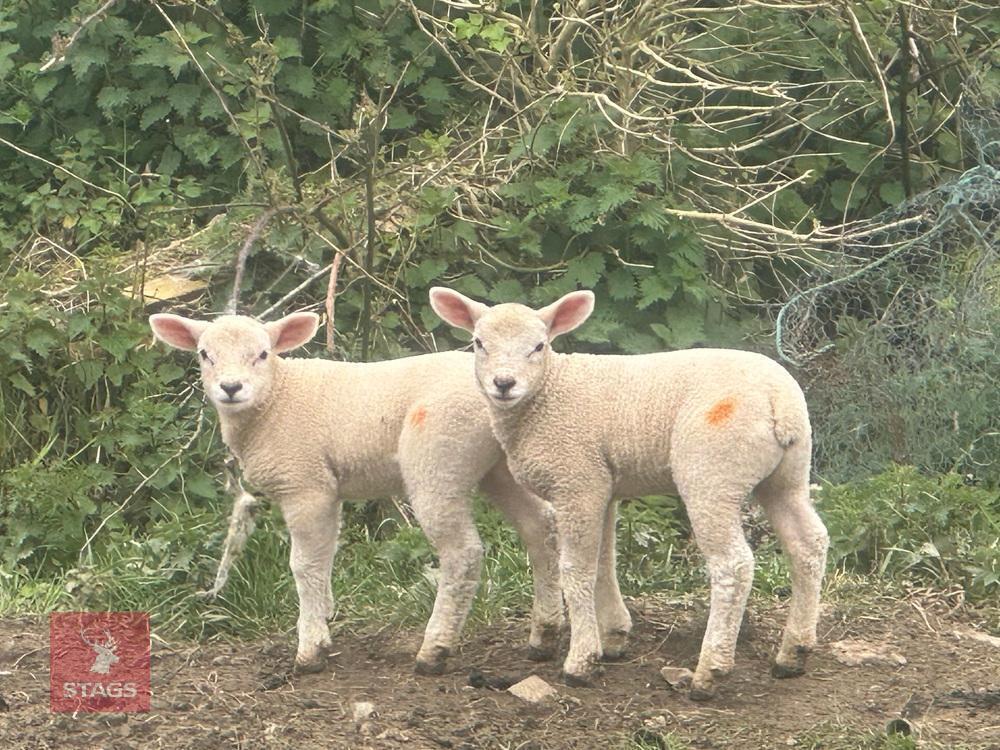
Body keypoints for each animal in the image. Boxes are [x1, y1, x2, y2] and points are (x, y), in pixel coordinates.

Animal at [148, 311, 563, 675]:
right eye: (205, 354)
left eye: (263, 353)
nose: (231, 388)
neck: (276, 399)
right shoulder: (328, 488)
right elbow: (326, 555)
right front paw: (324, 618)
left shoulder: (305, 484)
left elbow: (305, 564)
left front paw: (310, 649)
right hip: (500, 466)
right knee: (539, 527)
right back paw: (544, 635)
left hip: (439, 459)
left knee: (463, 553)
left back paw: (434, 651)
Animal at [429, 287, 830, 700]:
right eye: (479, 343)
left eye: (539, 346)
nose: (504, 384)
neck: (548, 393)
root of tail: (778, 401)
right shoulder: (601, 485)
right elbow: (604, 562)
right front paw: (613, 638)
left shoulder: (577, 481)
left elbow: (576, 569)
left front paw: (581, 662)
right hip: (787, 476)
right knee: (808, 544)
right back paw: (793, 654)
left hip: (711, 471)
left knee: (733, 565)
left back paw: (710, 672)